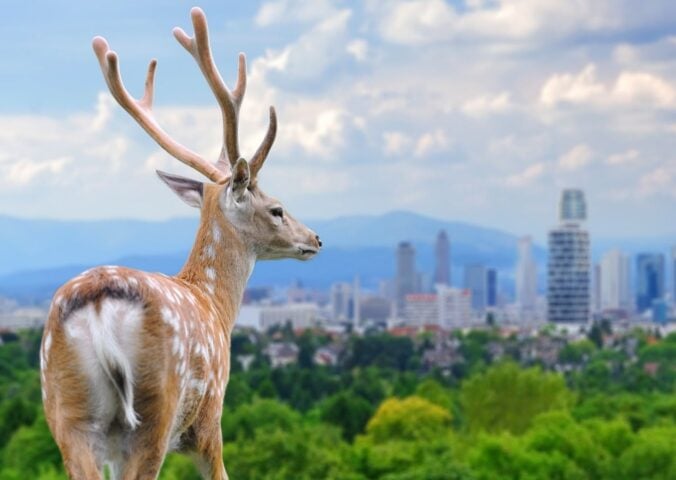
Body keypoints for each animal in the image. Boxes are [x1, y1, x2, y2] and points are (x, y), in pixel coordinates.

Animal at [39, 8, 322, 480]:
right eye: (277, 209)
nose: (315, 239)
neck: (215, 306)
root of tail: (98, 305)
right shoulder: (210, 421)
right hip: (155, 410)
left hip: (66, 411)